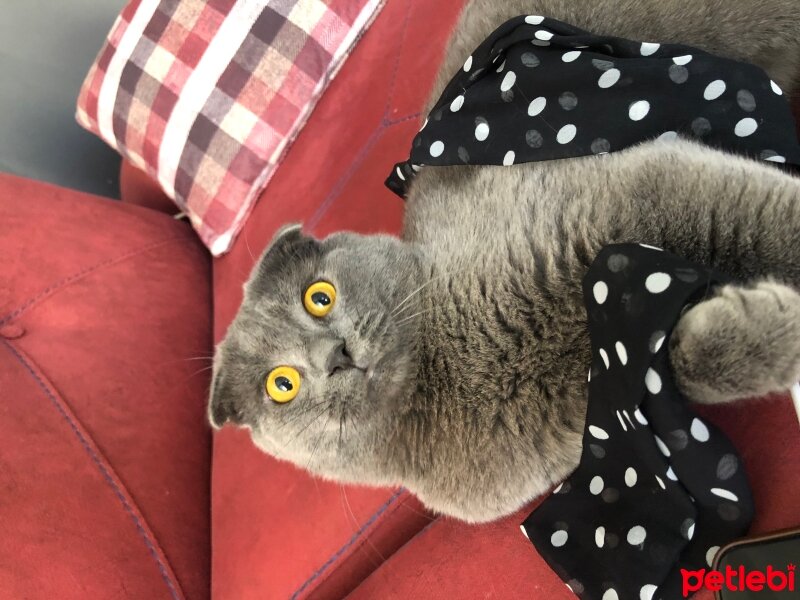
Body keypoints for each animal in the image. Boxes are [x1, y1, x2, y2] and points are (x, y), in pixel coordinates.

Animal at [209, 0, 800, 524]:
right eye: (281, 385)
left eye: (319, 296)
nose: (335, 356)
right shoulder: (615, 379)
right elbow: (671, 366)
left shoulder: (632, 192)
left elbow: (752, 221)